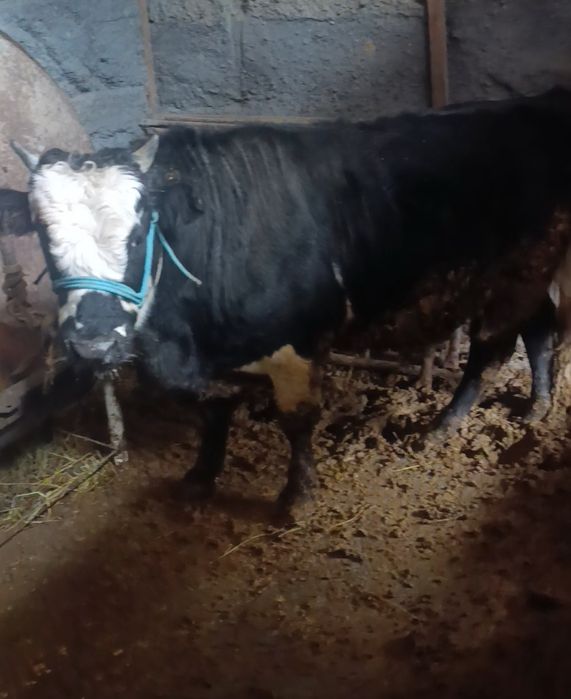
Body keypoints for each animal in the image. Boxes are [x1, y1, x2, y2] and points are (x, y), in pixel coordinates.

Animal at [10, 87, 571, 517]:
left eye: (139, 226)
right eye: (42, 231)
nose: (94, 342)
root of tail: (539, 102)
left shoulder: (295, 345)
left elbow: (297, 421)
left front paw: (297, 496)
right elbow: (212, 415)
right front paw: (200, 477)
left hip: (517, 273)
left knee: (491, 350)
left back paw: (445, 425)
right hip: (527, 275)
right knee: (540, 327)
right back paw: (537, 406)